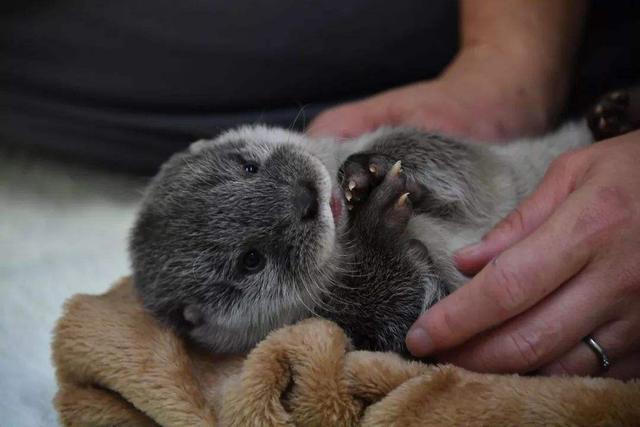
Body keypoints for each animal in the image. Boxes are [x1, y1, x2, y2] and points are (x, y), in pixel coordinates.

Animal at [131, 121, 596, 354]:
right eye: (250, 260)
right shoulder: (365, 327)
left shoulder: (485, 165)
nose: (305, 198)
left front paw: (365, 169)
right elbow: (413, 319)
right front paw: (377, 222)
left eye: (248, 167)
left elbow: (446, 152)